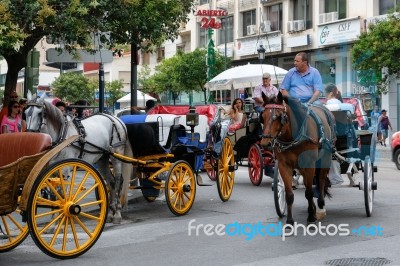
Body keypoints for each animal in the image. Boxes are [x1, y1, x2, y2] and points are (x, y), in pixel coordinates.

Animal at [260, 92, 336, 225]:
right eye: (262, 116)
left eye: (279, 117)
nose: (265, 144)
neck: (293, 137)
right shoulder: (283, 166)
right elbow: (289, 194)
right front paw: (290, 221)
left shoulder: (310, 164)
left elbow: (309, 192)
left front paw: (311, 216)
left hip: (325, 159)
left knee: (321, 181)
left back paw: (320, 208)